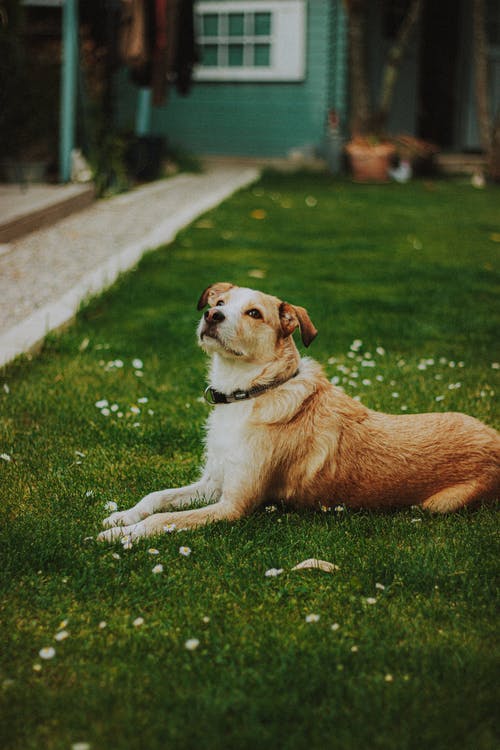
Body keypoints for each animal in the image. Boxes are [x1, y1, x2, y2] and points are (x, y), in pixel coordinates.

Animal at [97, 282, 500, 540]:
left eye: (254, 313)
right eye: (221, 301)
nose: (212, 315)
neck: (250, 392)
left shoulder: (233, 506)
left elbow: (163, 519)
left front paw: (126, 535)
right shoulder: (214, 482)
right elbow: (157, 497)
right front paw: (122, 517)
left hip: (440, 505)